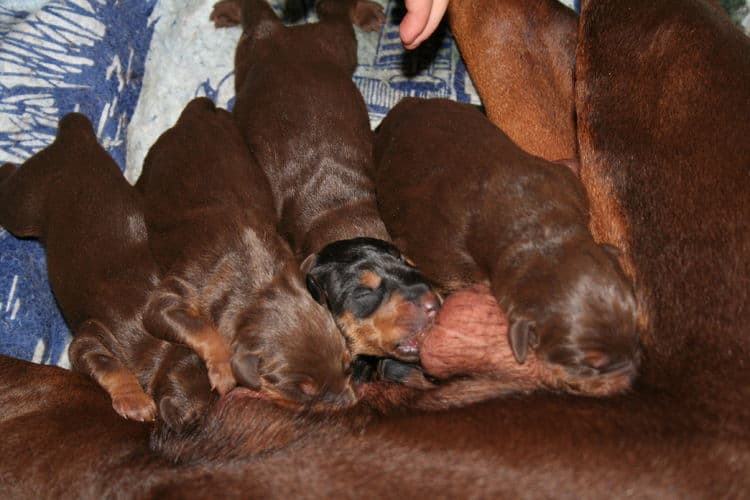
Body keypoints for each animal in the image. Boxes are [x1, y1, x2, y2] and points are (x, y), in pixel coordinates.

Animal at [137, 97, 356, 414]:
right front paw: (223, 370)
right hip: (152, 162)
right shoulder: (172, 296)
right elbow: (198, 327)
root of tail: (193, 114)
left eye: (347, 363)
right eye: (305, 391)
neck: (258, 285)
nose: (351, 403)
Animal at [209, 0, 440, 362]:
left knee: (332, 13)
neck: (345, 216)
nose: (432, 303)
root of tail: (277, 32)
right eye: (363, 291)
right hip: (254, 51)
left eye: (411, 265)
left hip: (334, 44)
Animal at [374, 96, 640, 394]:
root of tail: (403, 104)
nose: (632, 380)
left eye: (636, 329)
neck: (538, 234)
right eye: (591, 365)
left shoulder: (566, 184)